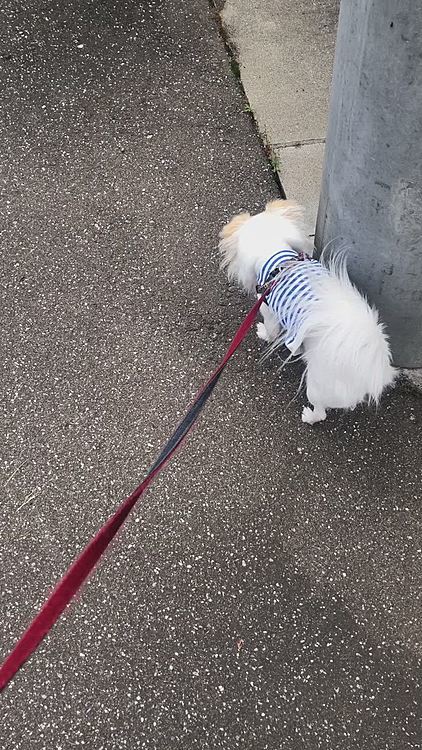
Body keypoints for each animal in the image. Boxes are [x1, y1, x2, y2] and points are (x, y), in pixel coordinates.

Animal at [219, 200, 398, 424]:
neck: (277, 261)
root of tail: (368, 369)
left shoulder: (268, 309)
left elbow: (271, 330)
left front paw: (262, 333)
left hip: (315, 386)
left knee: (321, 412)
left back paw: (308, 416)